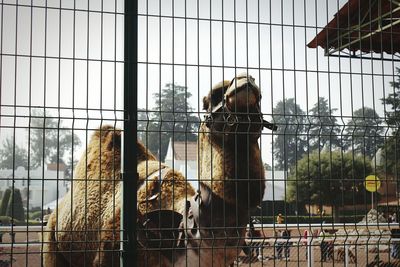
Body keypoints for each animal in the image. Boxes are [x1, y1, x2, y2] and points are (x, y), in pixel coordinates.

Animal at [42, 73, 270, 267]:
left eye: (260, 97)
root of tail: (55, 212)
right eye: (213, 96)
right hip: (52, 242)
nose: (246, 80)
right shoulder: (108, 253)